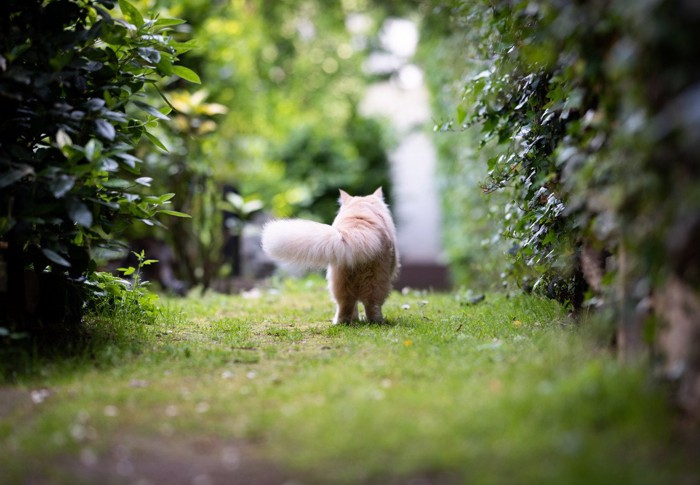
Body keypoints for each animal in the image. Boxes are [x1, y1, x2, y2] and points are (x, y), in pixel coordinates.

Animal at [262, 187, 400, 324]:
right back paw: (377, 322)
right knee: (372, 306)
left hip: (339, 282)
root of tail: (358, 230)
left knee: (346, 306)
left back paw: (342, 322)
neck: (360, 211)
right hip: (377, 281)